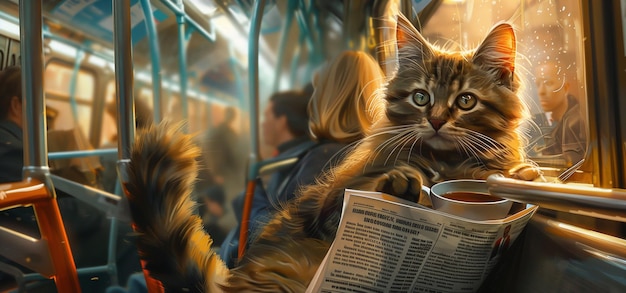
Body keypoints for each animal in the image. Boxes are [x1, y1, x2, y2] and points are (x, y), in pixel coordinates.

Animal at [124, 13, 540, 292]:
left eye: (466, 101)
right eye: (421, 97)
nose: (436, 121)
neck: (443, 162)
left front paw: (523, 177)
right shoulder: (327, 207)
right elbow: (355, 194)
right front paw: (402, 182)